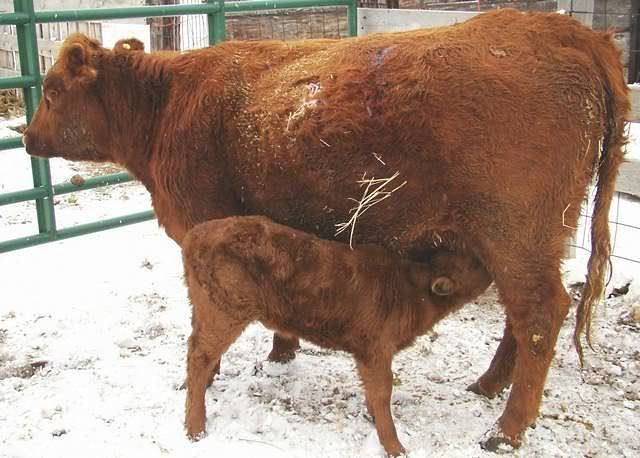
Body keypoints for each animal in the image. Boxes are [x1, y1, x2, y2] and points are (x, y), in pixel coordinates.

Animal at [181, 215, 492, 456]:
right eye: (474, 264)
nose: (492, 267)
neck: (408, 291)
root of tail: (196, 235)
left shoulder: (367, 352)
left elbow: (372, 392)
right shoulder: (376, 348)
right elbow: (383, 391)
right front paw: (395, 447)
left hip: (204, 308)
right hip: (225, 312)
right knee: (200, 356)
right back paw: (195, 428)